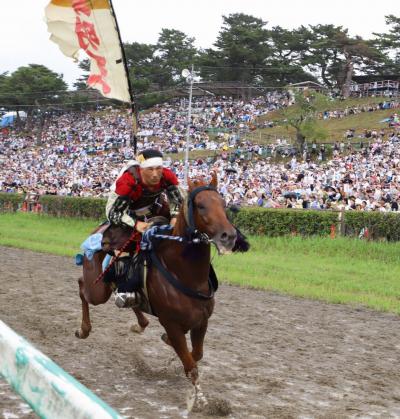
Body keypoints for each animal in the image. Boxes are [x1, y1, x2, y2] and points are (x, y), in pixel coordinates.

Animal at [76, 171, 236, 390]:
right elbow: (191, 366)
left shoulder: (201, 321)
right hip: (97, 290)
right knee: (82, 287)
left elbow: (197, 354)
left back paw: (139, 323)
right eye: (200, 205)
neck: (185, 274)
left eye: (223, 203)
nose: (229, 235)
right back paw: (83, 330)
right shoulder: (171, 323)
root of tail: (100, 229)